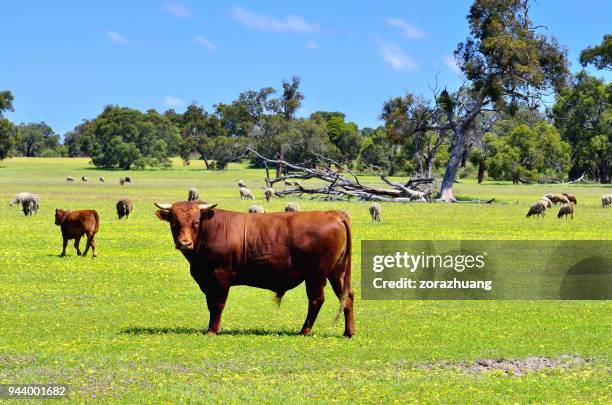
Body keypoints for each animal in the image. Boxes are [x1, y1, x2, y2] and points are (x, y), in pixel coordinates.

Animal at [154, 200, 354, 336]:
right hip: (337, 272)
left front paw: (213, 330)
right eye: (174, 222)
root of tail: (332, 214)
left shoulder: (220, 275)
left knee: (316, 299)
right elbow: (211, 304)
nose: (184, 243)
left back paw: (304, 330)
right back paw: (348, 332)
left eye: (196, 222)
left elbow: (217, 304)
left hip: (316, 274)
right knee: (347, 297)